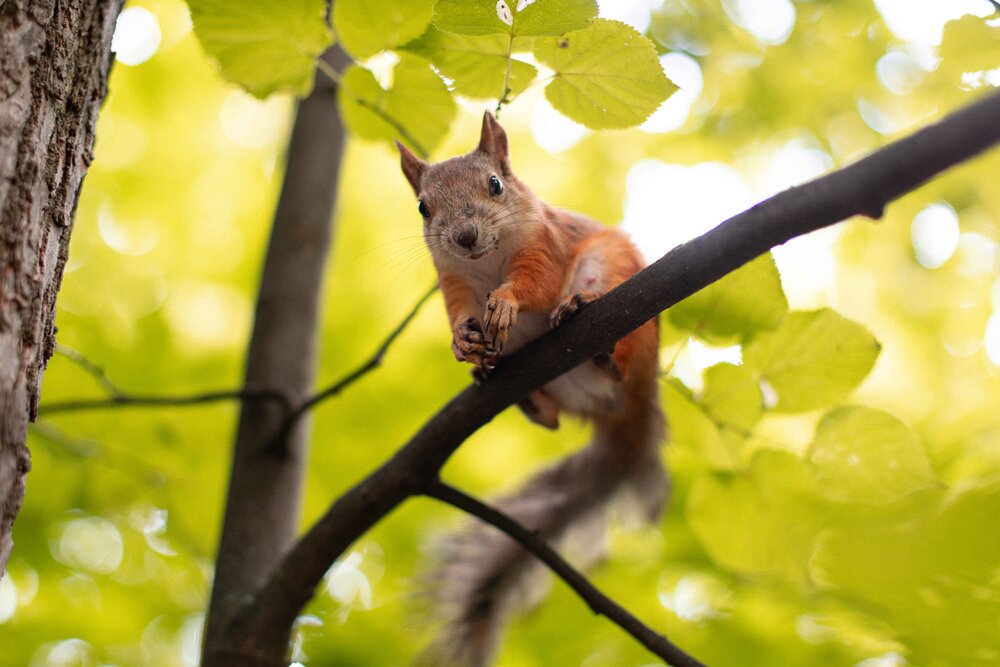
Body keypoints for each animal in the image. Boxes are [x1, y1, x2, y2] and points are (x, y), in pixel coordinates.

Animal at [397, 112, 667, 667]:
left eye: (496, 185)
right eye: (423, 207)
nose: (464, 236)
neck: (484, 262)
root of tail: (635, 411)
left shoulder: (546, 243)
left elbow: (536, 283)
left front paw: (507, 301)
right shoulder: (452, 281)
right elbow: (459, 314)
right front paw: (462, 342)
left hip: (614, 286)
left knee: (616, 363)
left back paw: (588, 324)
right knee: (555, 418)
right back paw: (522, 396)